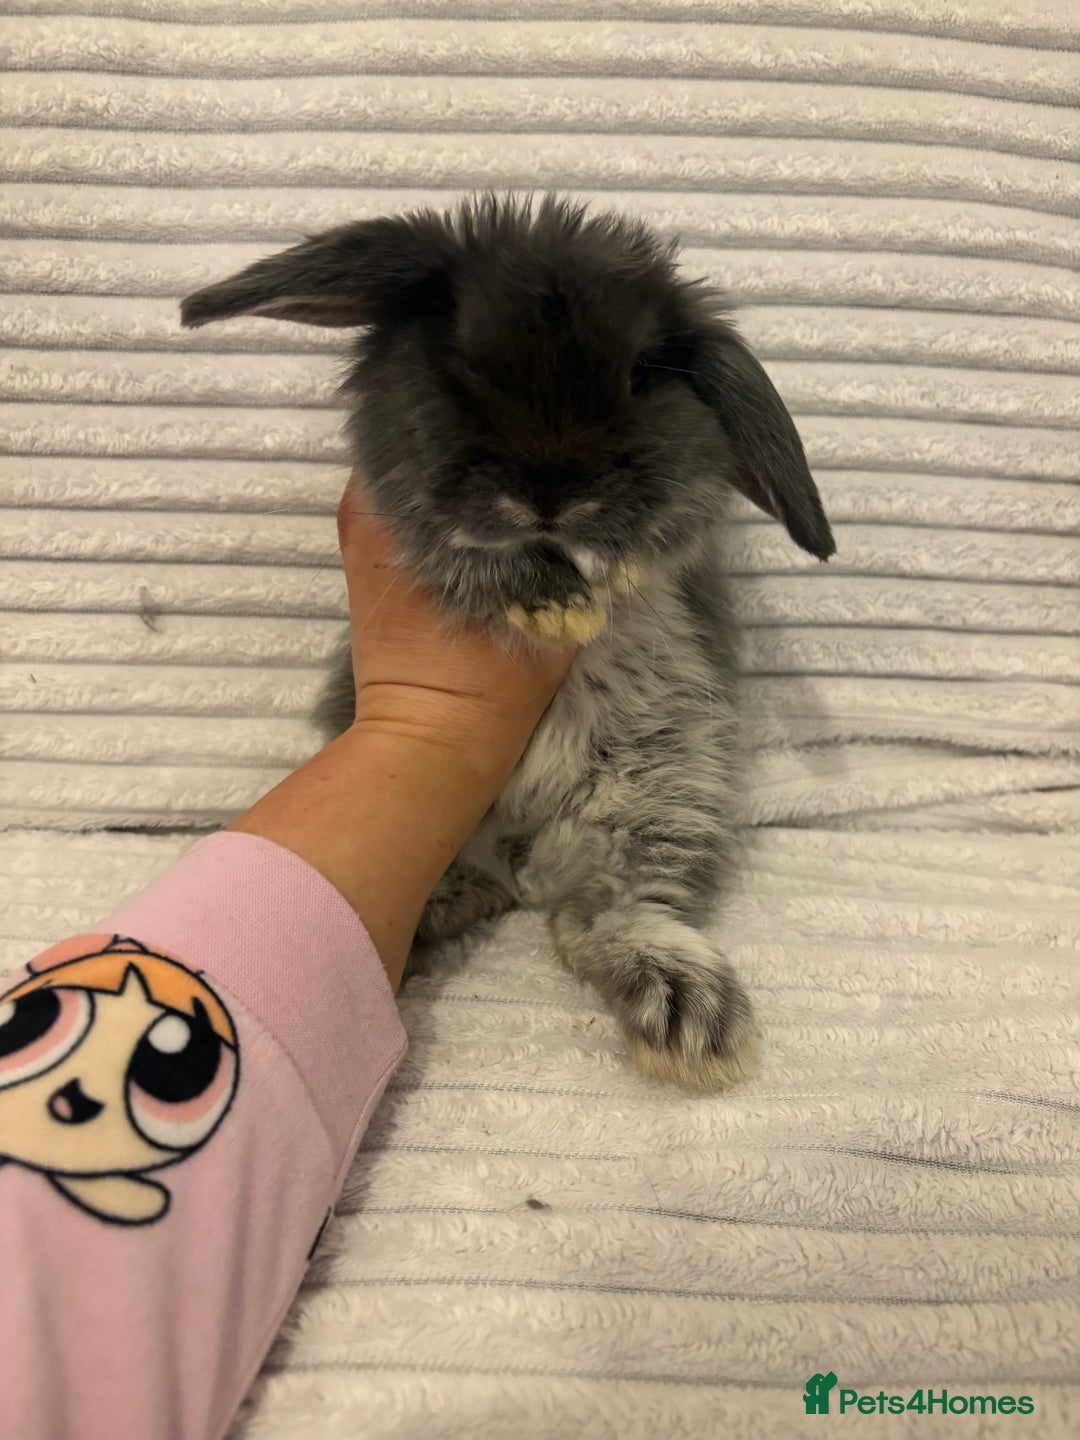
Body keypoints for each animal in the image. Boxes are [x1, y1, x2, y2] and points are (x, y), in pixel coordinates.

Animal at [180, 191, 835, 1092]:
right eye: (461, 354)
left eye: (641, 373)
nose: (550, 494)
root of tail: (520, 861)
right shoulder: (407, 519)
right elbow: (469, 554)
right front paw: (552, 602)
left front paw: (587, 588)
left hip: (665, 788)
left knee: (602, 917)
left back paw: (687, 1013)